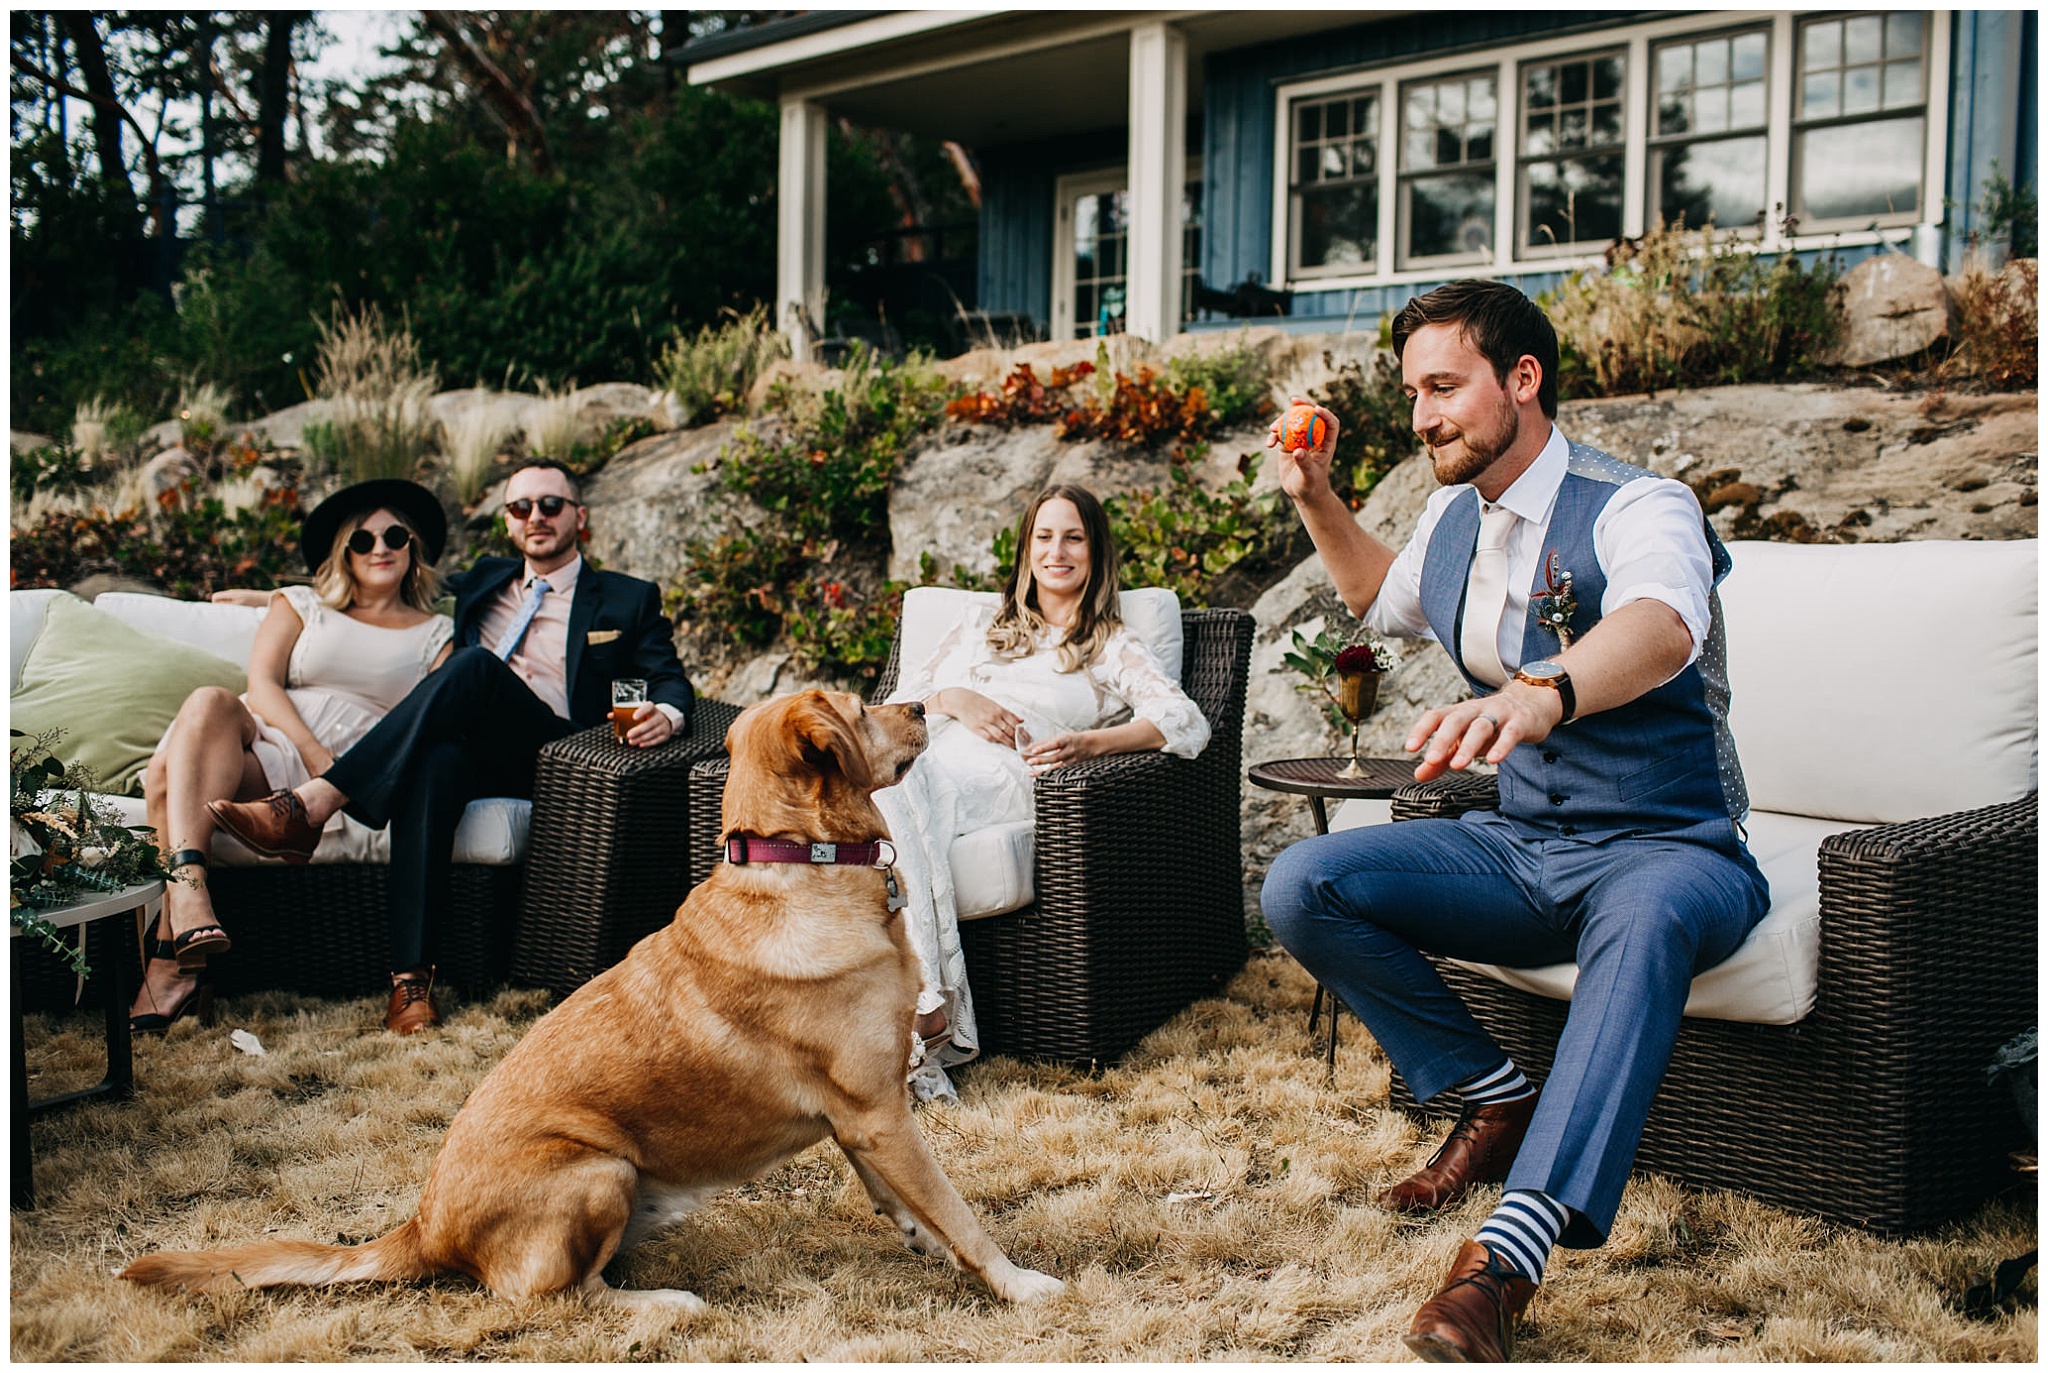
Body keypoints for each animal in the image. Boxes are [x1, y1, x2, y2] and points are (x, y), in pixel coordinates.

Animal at [119, 692, 1064, 1319]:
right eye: (864, 709)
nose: (921, 703)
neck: (802, 857)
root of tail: (423, 1226)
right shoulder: (877, 1110)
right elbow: (960, 1211)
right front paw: (1018, 1282)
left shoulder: (862, 1116)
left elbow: (902, 1199)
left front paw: (920, 1238)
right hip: (599, 1168)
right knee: (554, 1298)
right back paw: (668, 1303)